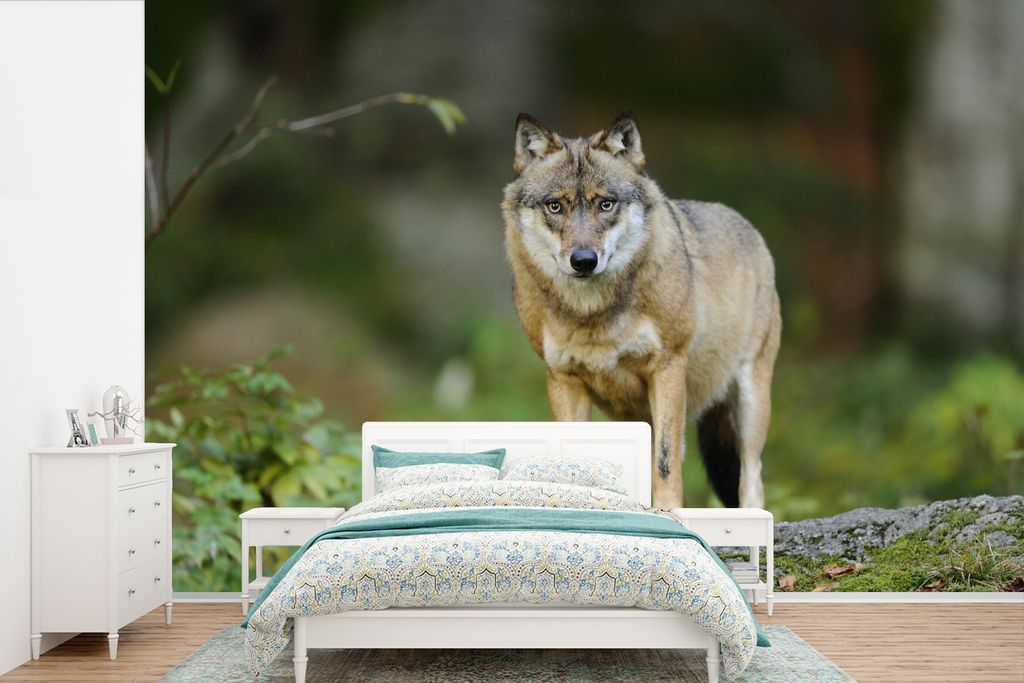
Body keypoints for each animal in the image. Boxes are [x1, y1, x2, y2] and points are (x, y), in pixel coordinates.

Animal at [502, 112, 781, 509]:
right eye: (555, 206)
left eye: (605, 204)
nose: (584, 261)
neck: (592, 315)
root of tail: (747, 225)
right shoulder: (563, 380)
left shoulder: (667, 367)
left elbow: (666, 462)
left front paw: (668, 512)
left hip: (750, 402)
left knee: (752, 479)